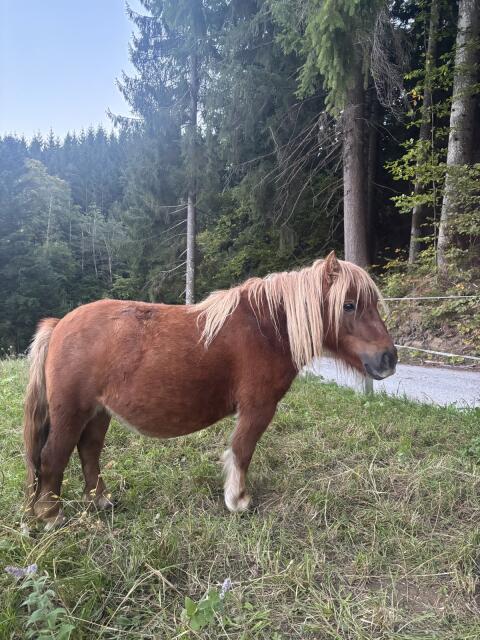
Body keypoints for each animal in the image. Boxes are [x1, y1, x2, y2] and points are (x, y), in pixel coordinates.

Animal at [24, 251, 397, 528]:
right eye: (349, 304)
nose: (388, 357)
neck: (266, 328)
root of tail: (59, 325)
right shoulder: (257, 408)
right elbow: (242, 450)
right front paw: (238, 500)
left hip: (98, 414)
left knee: (89, 452)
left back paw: (100, 500)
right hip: (71, 413)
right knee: (53, 457)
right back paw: (51, 516)